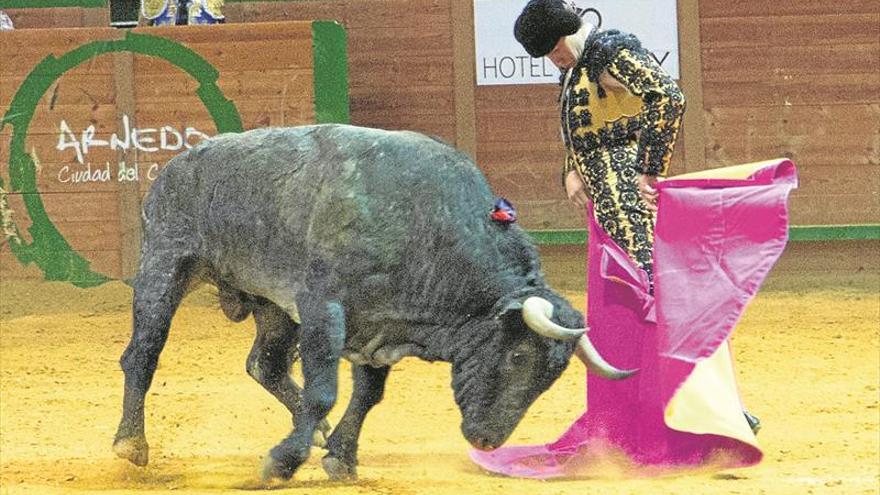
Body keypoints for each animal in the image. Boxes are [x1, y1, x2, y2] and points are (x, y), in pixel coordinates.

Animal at [111, 125, 632, 484]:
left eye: (553, 378)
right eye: (519, 356)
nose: (486, 440)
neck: (428, 228)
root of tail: (175, 166)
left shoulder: (377, 328)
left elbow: (367, 395)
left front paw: (339, 455)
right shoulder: (323, 309)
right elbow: (325, 390)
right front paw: (282, 462)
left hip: (271, 305)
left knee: (265, 364)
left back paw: (313, 431)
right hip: (164, 266)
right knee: (142, 355)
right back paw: (130, 443)